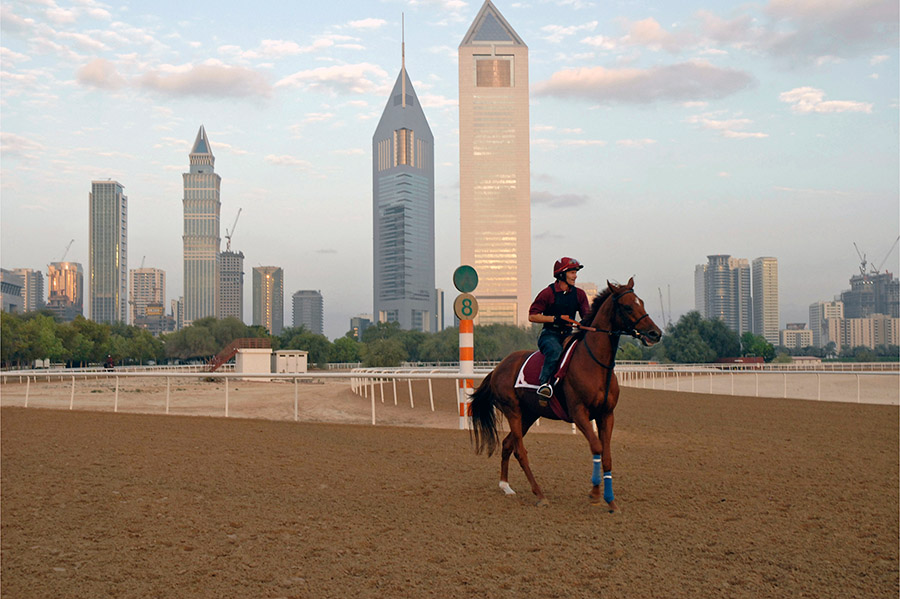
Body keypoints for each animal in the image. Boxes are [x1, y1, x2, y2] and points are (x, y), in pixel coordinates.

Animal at [472, 280, 660, 510]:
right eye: (627, 307)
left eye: (640, 302)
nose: (655, 333)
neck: (595, 365)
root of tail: (498, 368)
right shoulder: (579, 413)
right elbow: (596, 447)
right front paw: (595, 494)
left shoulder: (607, 415)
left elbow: (607, 456)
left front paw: (611, 501)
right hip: (513, 411)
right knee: (520, 451)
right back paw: (540, 494)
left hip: (529, 414)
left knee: (508, 445)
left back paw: (505, 486)